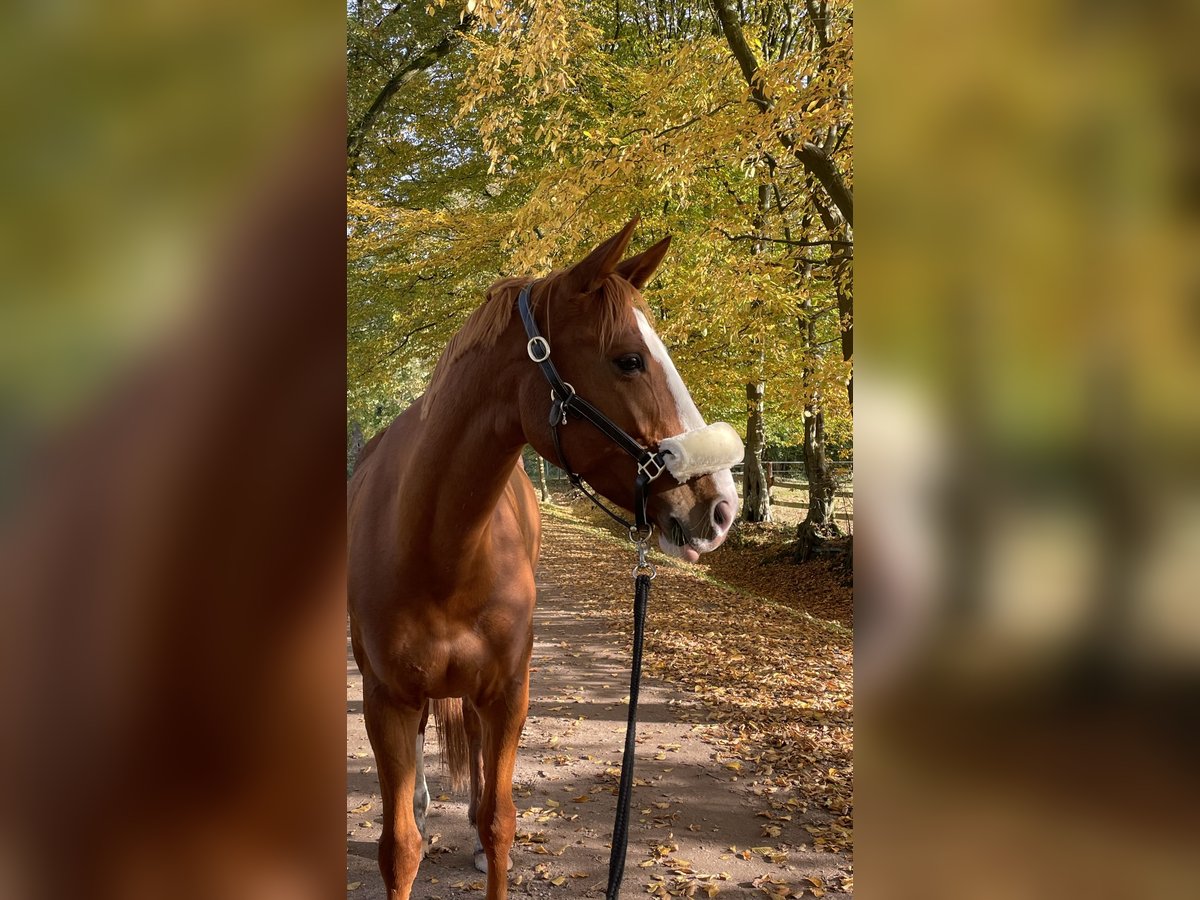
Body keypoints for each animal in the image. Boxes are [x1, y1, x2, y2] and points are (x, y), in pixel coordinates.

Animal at [345, 220, 739, 900]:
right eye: (629, 359)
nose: (721, 507)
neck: (439, 554)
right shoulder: (385, 700)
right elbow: (399, 850)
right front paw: (416, 818)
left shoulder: (509, 693)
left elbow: (500, 824)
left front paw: (485, 840)